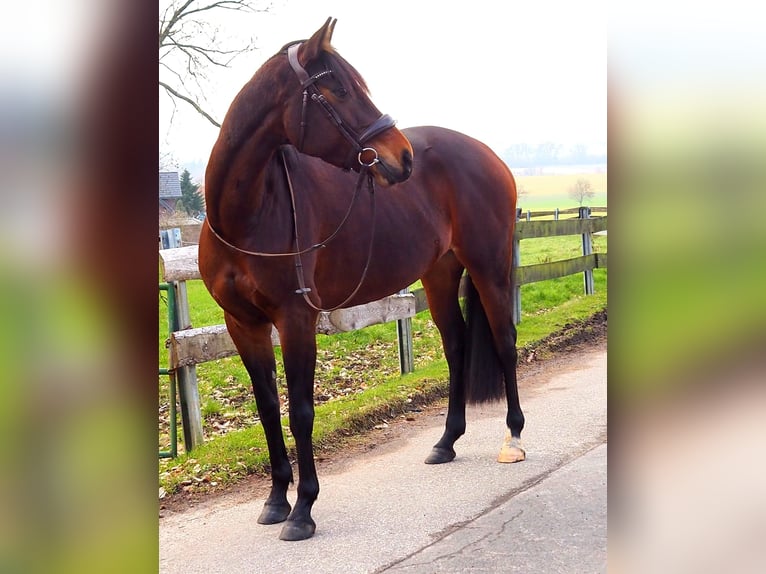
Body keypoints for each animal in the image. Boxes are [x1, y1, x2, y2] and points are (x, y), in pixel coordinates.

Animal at [198, 15, 524, 544]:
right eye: (340, 89)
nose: (403, 157)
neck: (246, 214)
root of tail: (488, 154)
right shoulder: (242, 324)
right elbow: (268, 409)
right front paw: (275, 500)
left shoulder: (296, 319)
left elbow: (301, 411)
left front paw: (303, 510)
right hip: (438, 274)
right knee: (456, 345)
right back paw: (446, 441)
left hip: (488, 267)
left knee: (504, 341)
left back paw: (513, 437)